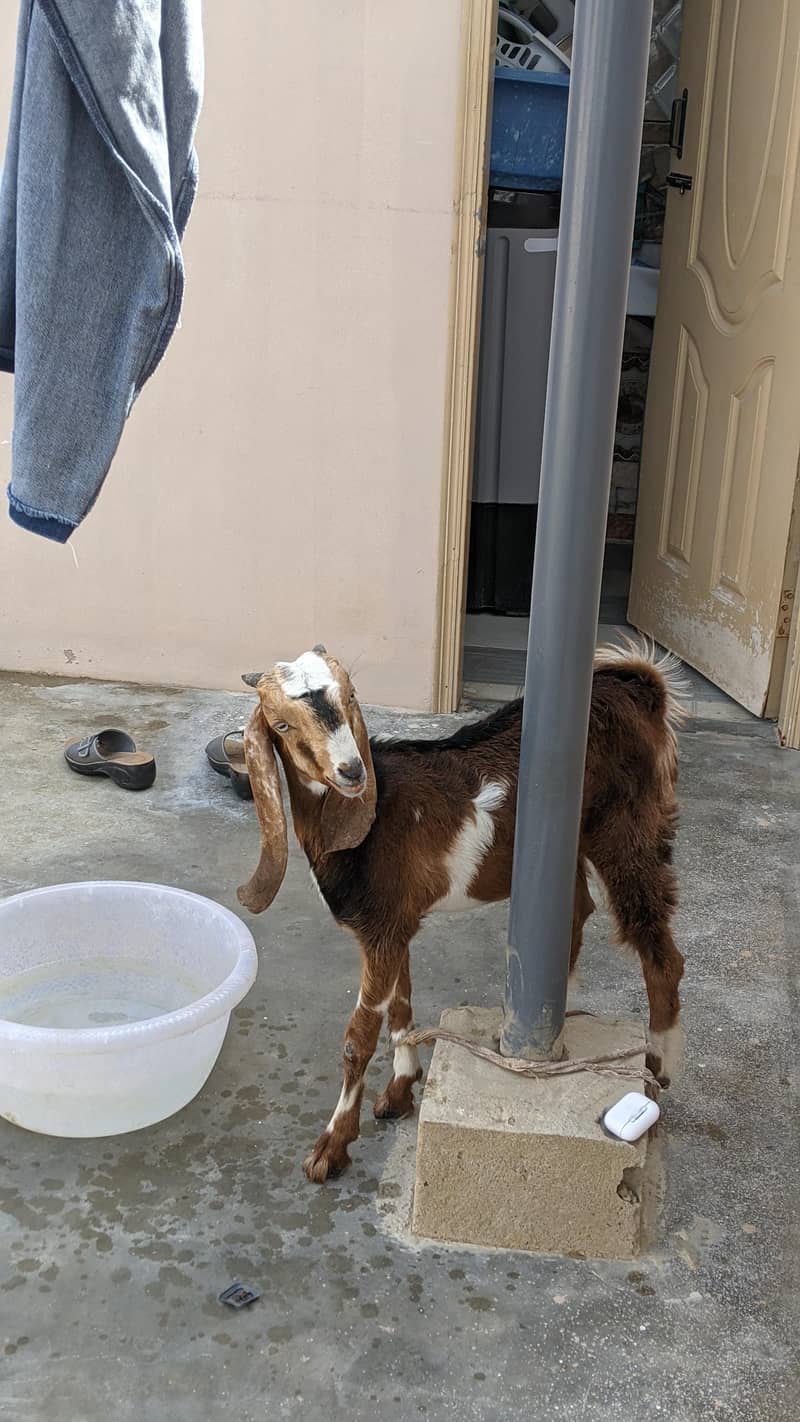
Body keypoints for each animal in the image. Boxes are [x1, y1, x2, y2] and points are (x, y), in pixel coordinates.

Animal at [237, 642, 685, 1184]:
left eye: (351, 698)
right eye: (281, 725)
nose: (352, 772)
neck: (368, 822)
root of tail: (641, 688)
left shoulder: (381, 930)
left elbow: (358, 1036)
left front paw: (331, 1147)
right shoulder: (395, 927)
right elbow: (401, 1008)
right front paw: (400, 1091)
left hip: (630, 830)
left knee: (660, 951)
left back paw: (657, 1068)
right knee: (578, 908)